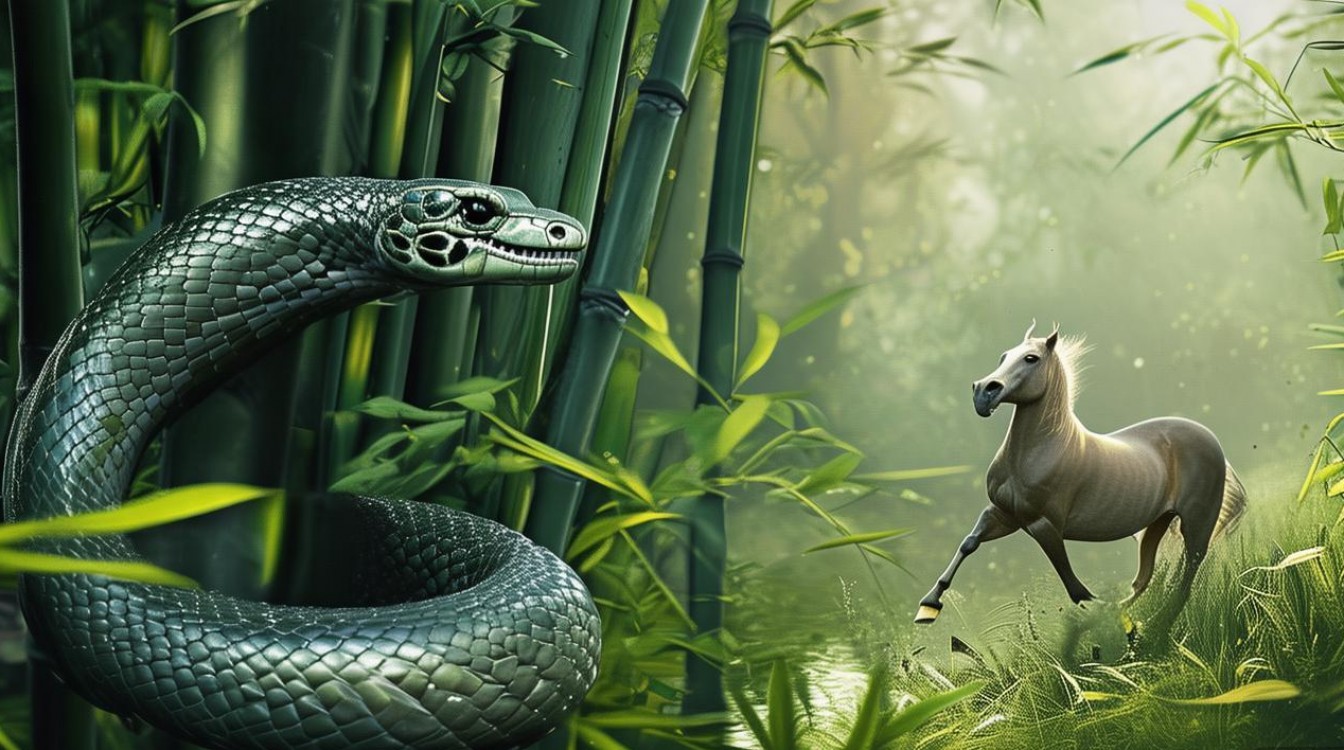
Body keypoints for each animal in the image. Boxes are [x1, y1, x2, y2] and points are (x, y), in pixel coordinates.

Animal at [914, 322, 1245, 625]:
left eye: (1031, 358)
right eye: (1004, 356)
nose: (983, 392)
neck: (1038, 452)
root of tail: (1212, 440)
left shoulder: (1042, 525)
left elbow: (1073, 585)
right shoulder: (1003, 514)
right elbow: (969, 542)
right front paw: (928, 606)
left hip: (1197, 523)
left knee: (1187, 575)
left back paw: (1154, 626)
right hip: (1157, 523)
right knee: (1144, 578)